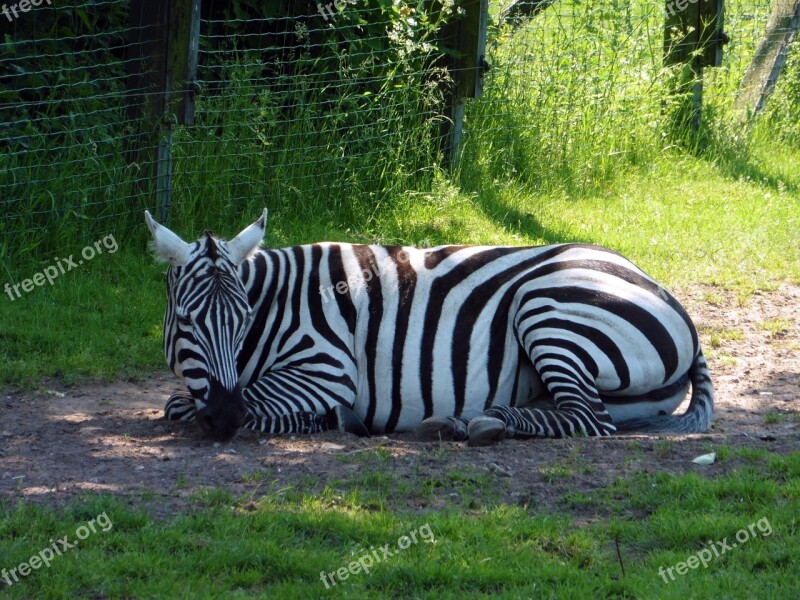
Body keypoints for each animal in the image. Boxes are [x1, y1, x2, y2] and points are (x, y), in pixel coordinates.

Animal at [147, 209, 716, 442]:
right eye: (190, 321)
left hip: (547, 308)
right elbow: (180, 404)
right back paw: (461, 423)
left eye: (242, 320)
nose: (223, 418)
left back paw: (485, 425)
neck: (277, 305)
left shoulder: (327, 369)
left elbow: (249, 404)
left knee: (588, 419)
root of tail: (661, 289)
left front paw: (329, 420)